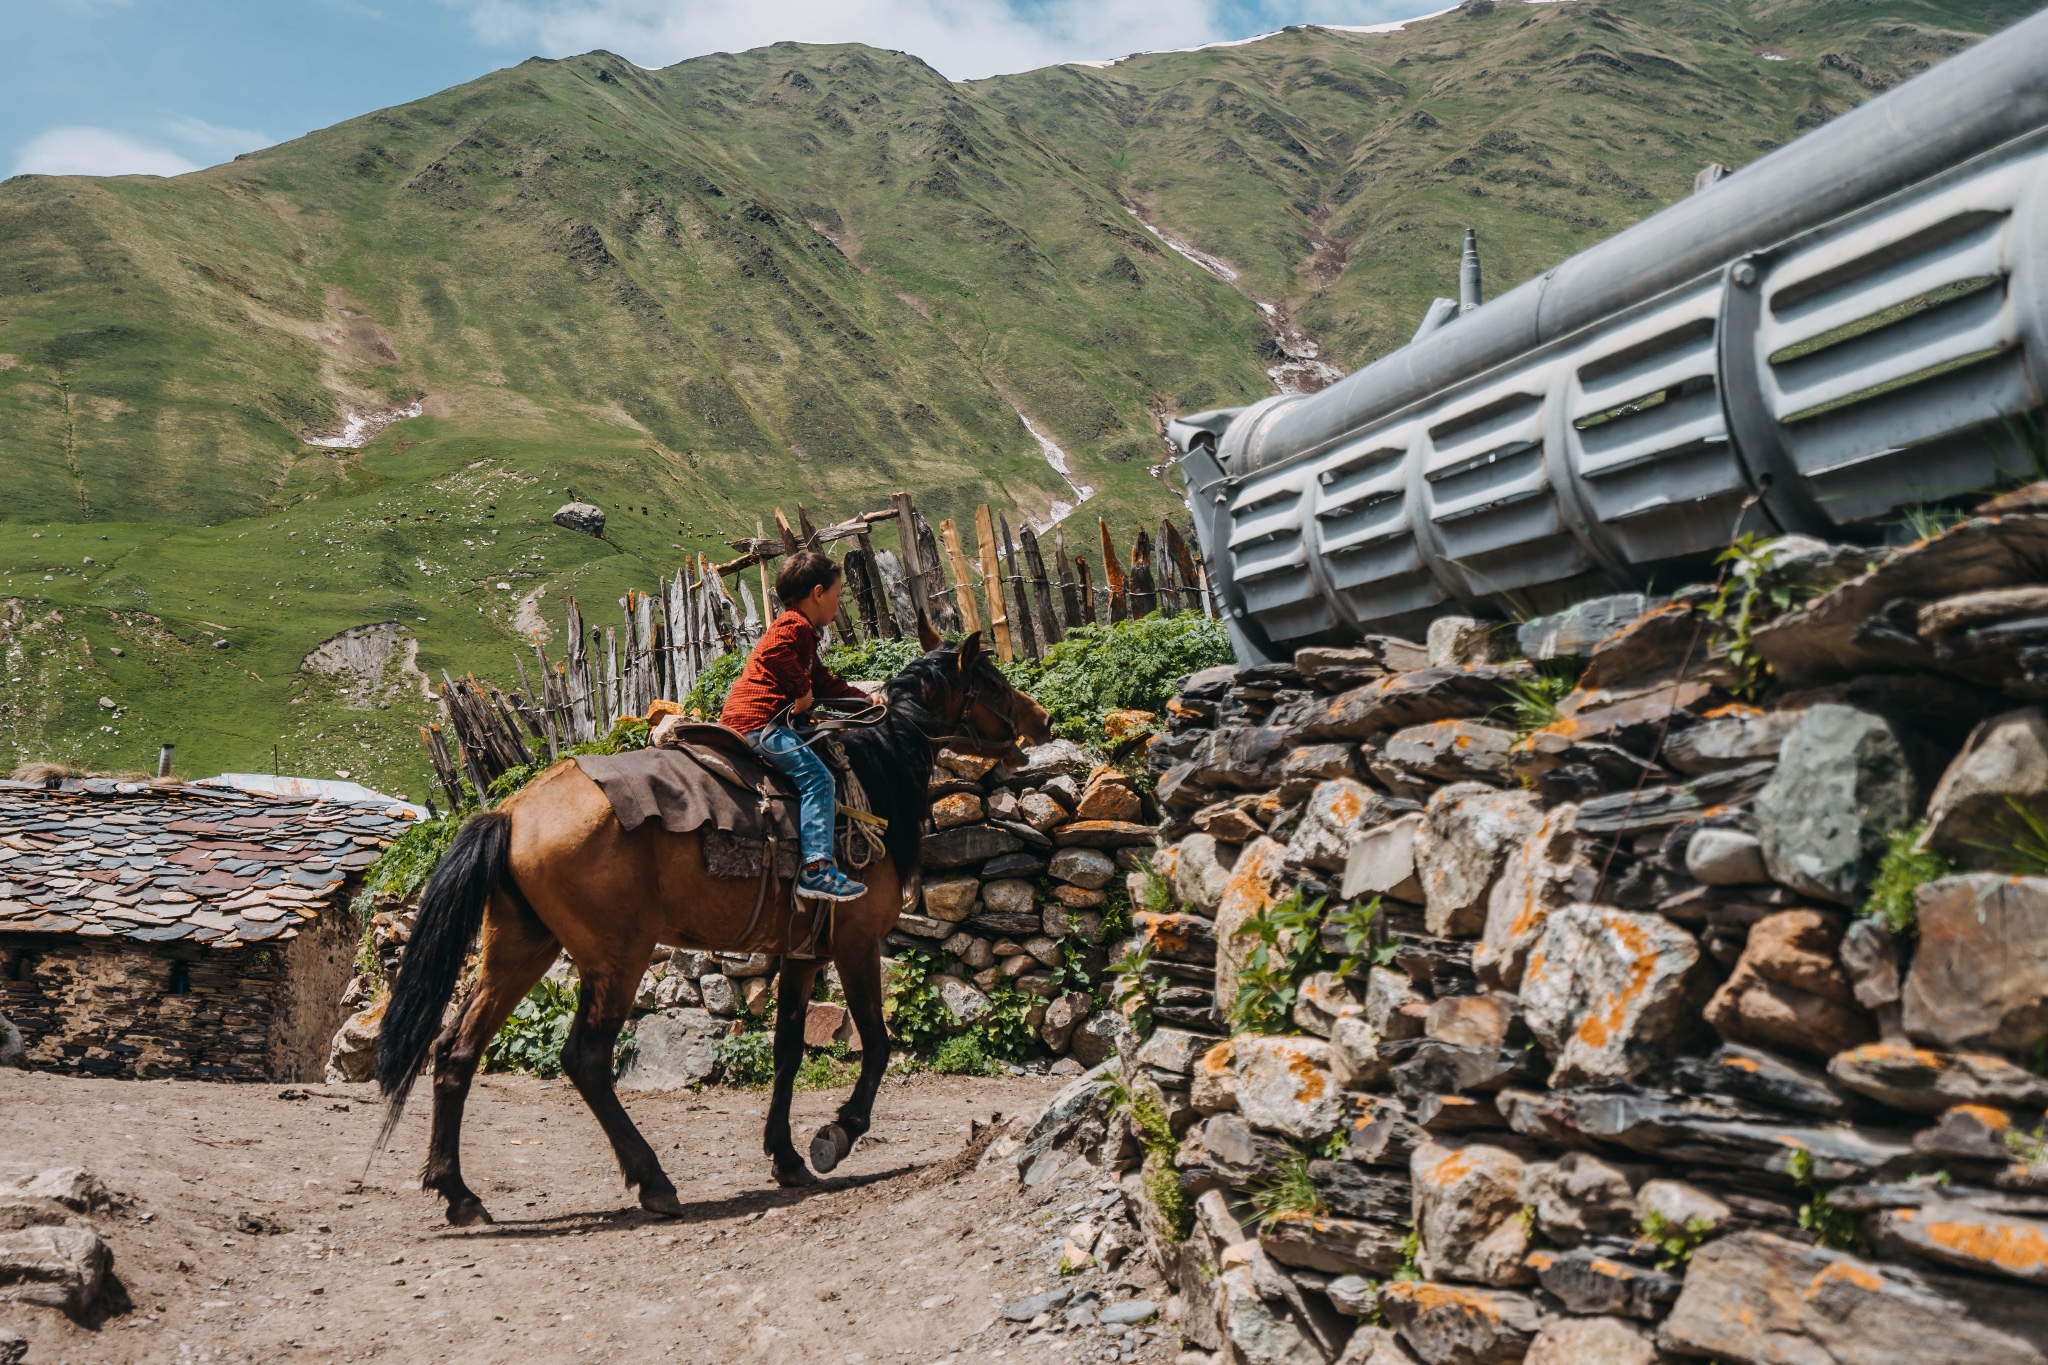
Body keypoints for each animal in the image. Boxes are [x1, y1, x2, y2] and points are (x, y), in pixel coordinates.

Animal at [370, 626, 1048, 1219]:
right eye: (990, 680)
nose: (1039, 719)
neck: (870, 776)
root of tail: (512, 811)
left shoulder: (802, 954)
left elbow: (787, 1049)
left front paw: (786, 1157)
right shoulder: (855, 944)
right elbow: (878, 1045)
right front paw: (836, 1135)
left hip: (519, 949)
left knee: (456, 1050)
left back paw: (459, 1194)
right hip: (616, 959)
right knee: (584, 1060)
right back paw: (654, 1183)